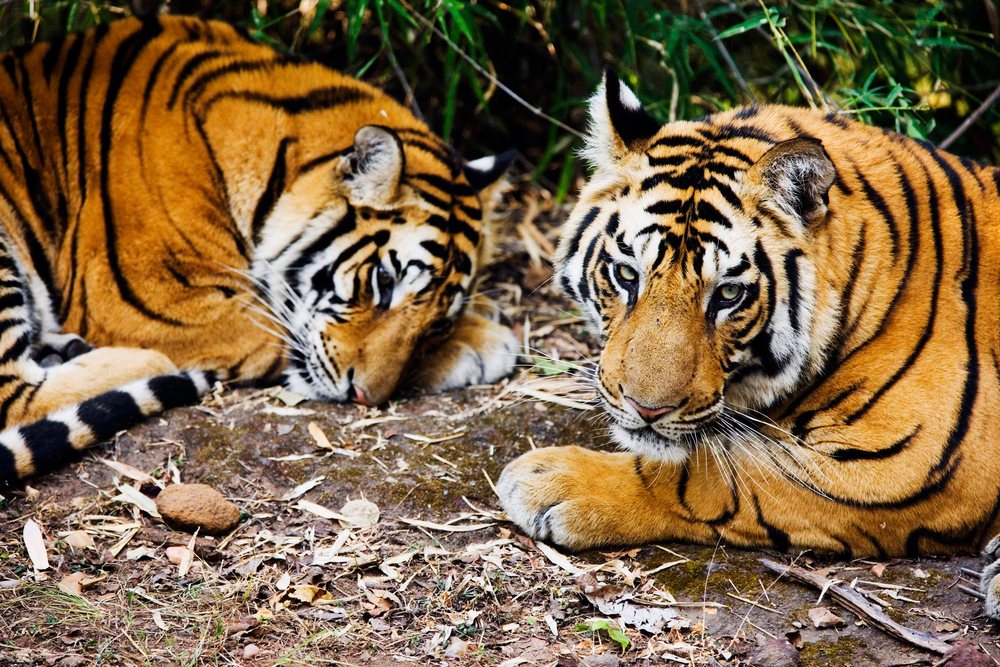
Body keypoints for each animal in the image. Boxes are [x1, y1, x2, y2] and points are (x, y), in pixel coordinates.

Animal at [0, 15, 519, 485]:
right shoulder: (159, 300)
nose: (364, 396)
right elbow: (274, 337)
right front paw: (484, 341)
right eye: (384, 283)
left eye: (437, 324)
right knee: (18, 397)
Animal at [498, 74, 1000, 616]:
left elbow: (707, 477)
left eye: (727, 295)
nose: (646, 409)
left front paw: (549, 479)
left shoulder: (908, 467)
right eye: (626, 275)